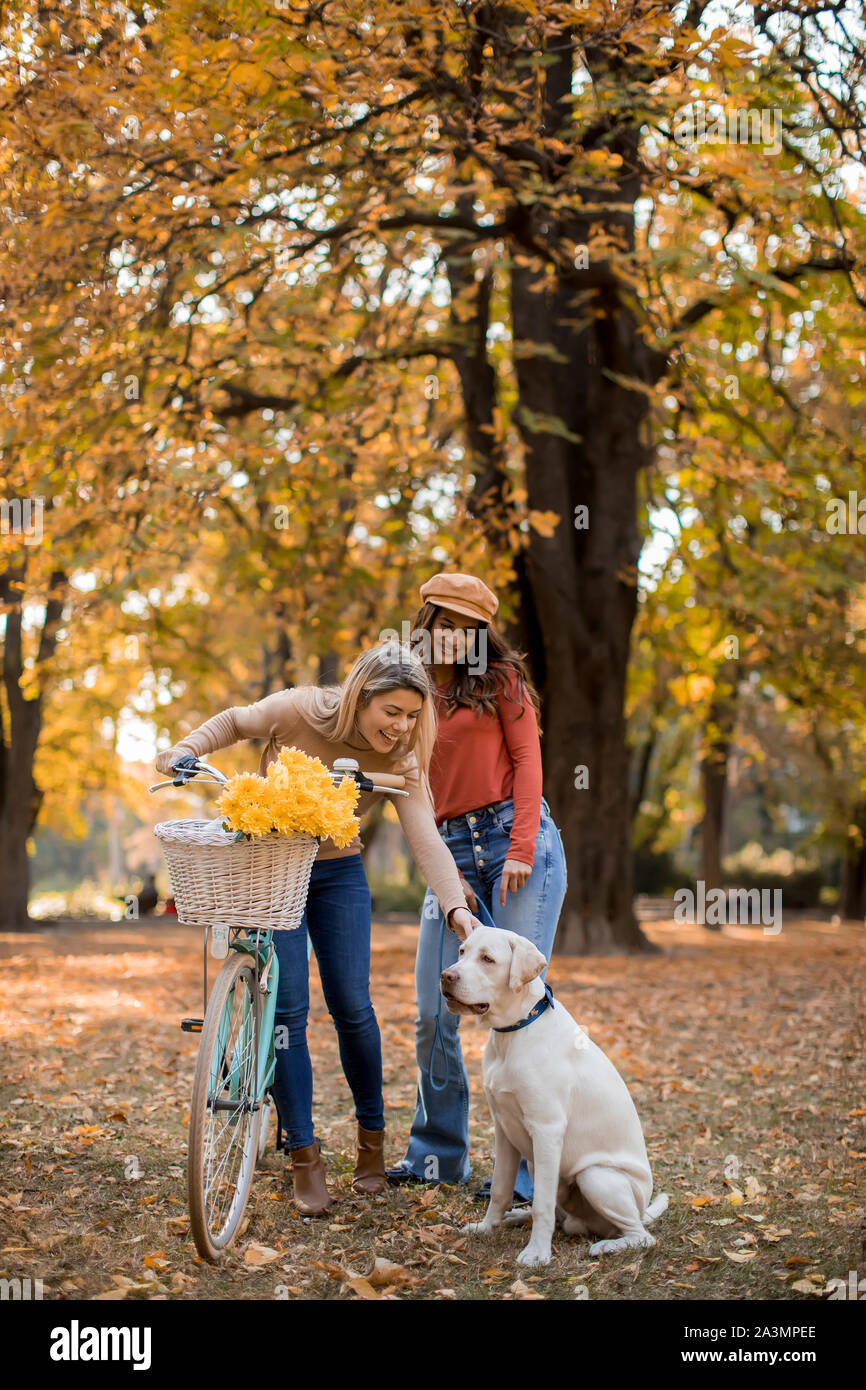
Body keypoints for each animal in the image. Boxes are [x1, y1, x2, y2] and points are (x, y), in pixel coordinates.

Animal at [444, 928, 667, 1267]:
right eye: (461, 951)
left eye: (488, 959)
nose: (446, 976)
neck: (513, 1032)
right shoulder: (503, 1128)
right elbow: (500, 1190)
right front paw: (486, 1228)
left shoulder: (546, 1130)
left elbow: (542, 1206)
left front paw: (537, 1253)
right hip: (541, 1166)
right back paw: (514, 1217)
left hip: (595, 1176)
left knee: (641, 1235)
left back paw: (606, 1245)